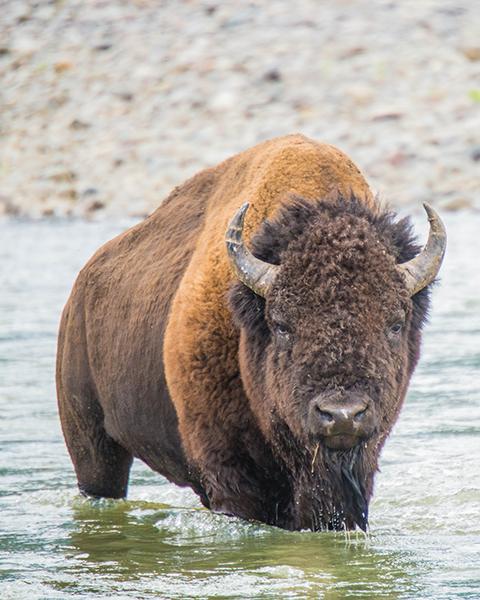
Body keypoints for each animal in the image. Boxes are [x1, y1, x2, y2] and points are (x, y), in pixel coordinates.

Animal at [57, 135, 446, 528]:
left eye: (395, 323)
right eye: (281, 324)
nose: (342, 415)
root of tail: (79, 293)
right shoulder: (229, 474)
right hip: (91, 444)